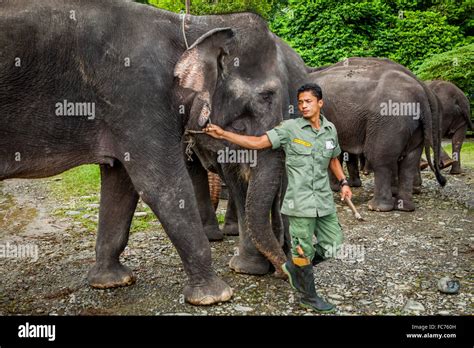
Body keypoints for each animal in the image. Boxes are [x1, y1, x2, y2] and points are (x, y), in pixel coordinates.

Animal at [0, 0, 308, 304]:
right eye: (266, 96)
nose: (284, 273)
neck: (190, 26)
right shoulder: (137, 94)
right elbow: (161, 186)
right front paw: (215, 295)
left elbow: (121, 184)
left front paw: (110, 282)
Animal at [308, 57, 448, 212]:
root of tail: (422, 94)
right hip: (414, 125)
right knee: (409, 161)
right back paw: (405, 206)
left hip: (388, 121)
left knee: (381, 159)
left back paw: (377, 207)